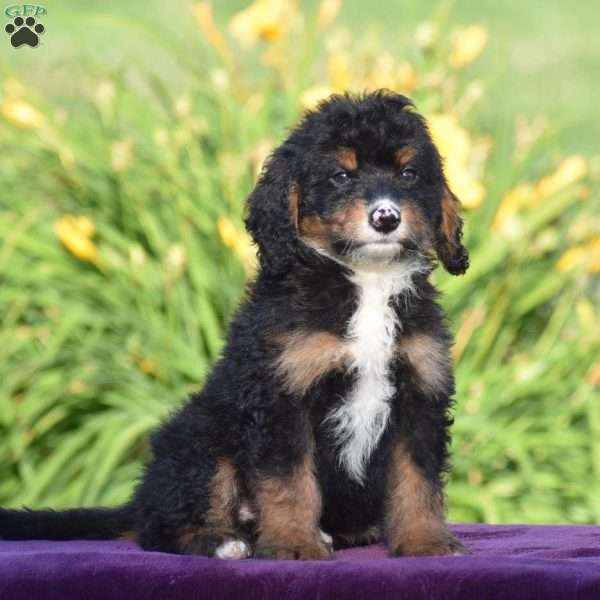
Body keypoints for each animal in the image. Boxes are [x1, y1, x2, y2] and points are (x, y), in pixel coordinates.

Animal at [0, 91, 468, 560]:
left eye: (408, 174)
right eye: (340, 175)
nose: (386, 217)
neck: (368, 280)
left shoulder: (419, 395)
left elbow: (417, 481)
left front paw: (424, 542)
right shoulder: (281, 397)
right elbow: (288, 483)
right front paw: (295, 544)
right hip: (204, 443)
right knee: (160, 527)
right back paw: (223, 542)